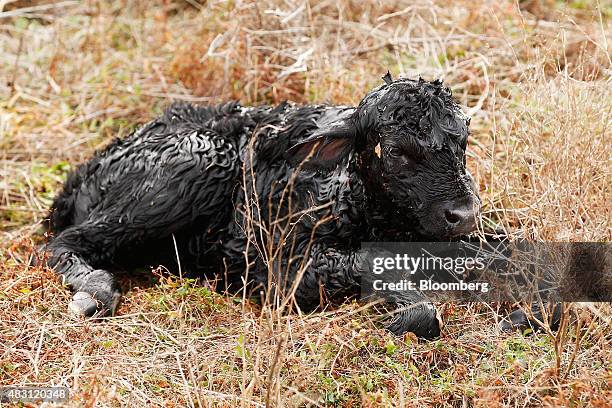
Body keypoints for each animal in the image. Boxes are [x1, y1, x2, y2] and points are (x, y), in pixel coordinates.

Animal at [45, 75, 480, 338]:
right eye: (395, 151)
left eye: (462, 142)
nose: (464, 214)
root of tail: (85, 171)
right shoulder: (278, 269)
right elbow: (381, 272)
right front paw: (405, 312)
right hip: (196, 163)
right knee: (63, 243)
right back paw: (95, 291)